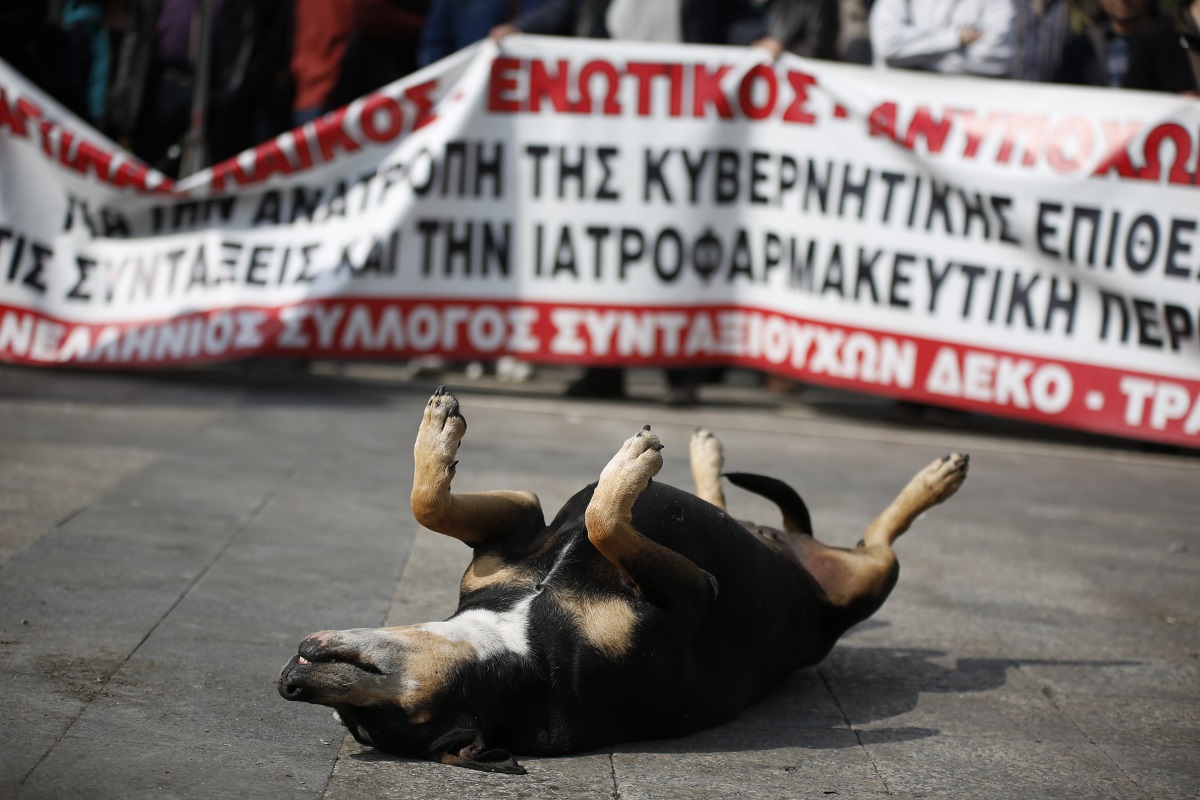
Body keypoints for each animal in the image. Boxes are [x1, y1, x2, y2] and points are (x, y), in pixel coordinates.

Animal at [278, 388, 964, 777]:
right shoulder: (693, 594)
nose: (288, 683)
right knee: (882, 540)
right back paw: (937, 480)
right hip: (867, 581)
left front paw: (438, 430)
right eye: (365, 722)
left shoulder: (514, 527)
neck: (515, 645)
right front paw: (629, 470)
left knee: (739, 508)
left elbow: (427, 501)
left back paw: (710, 454)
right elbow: (605, 519)